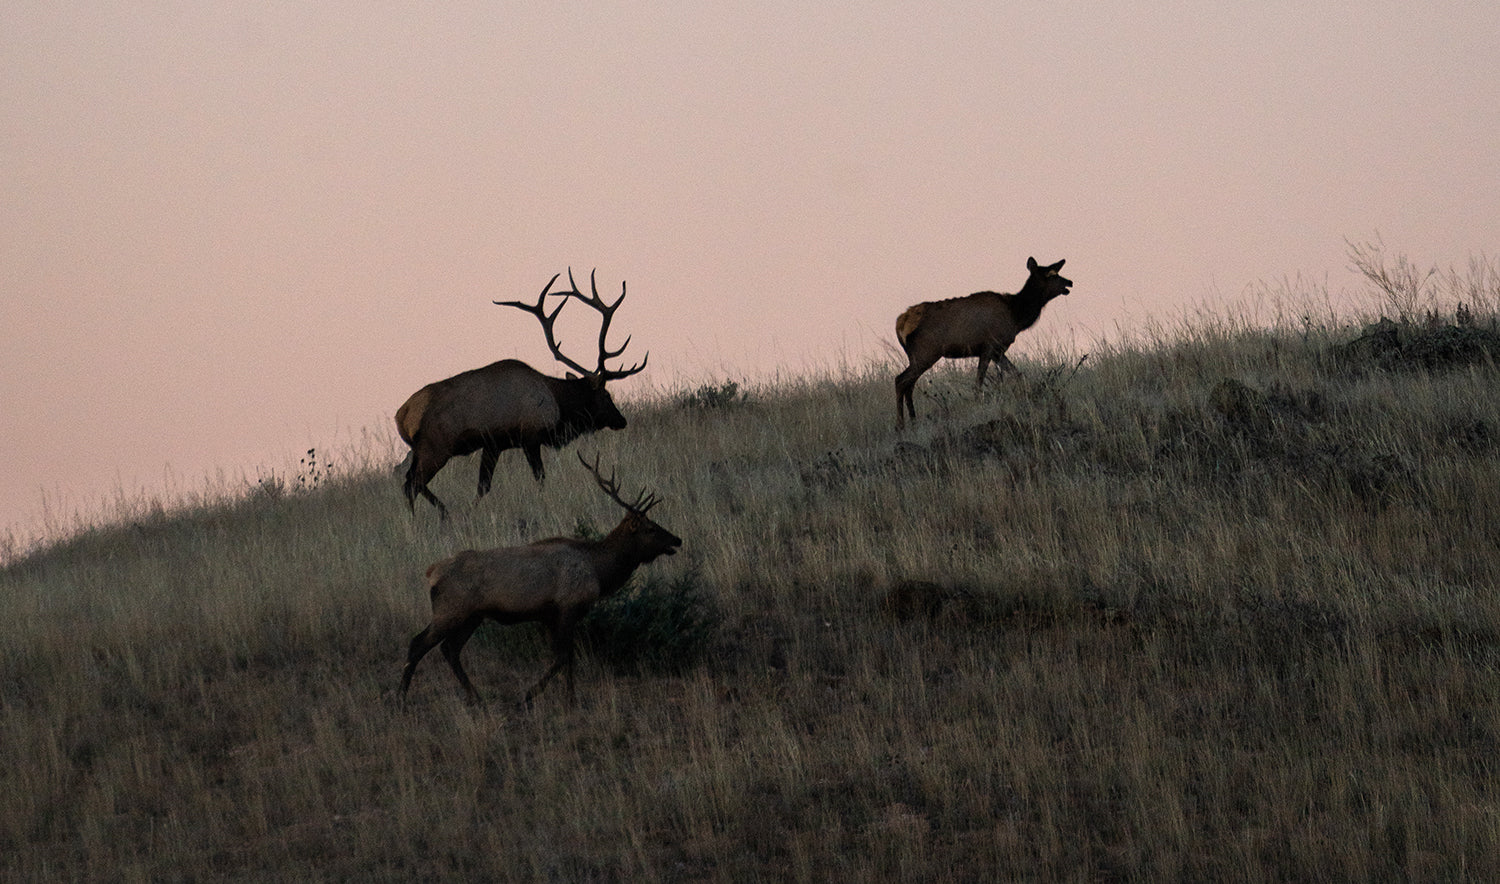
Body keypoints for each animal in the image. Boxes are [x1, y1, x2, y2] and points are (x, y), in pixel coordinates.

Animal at [396, 268, 648, 516]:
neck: (558, 405)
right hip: (435, 448)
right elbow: (539, 478)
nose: (621, 420)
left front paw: (471, 510)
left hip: (421, 451)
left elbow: (483, 486)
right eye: (606, 396)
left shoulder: (494, 444)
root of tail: (403, 415)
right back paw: (429, 518)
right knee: (412, 485)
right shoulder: (530, 437)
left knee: (410, 482)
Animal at [399, 450, 681, 705]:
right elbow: (562, 656)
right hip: (450, 610)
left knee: (450, 649)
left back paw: (475, 697)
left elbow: (565, 657)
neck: (599, 571)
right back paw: (402, 697)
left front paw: (568, 698)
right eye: (650, 528)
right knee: (418, 643)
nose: (676, 539)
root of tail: (432, 572)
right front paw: (535, 695)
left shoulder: (549, 615)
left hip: (472, 616)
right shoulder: (567, 607)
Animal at [894, 255, 1074, 426]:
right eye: (1051, 274)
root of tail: (900, 323)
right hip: (926, 353)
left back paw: (913, 420)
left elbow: (1017, 375)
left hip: (917, 356)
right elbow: (978, 383)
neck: (1016, 316)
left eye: (1057, 271)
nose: (1069, 282)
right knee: (900, 380)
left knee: (909, 385)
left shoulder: (998, 351)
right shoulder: (989, 347)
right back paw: (900, 425)